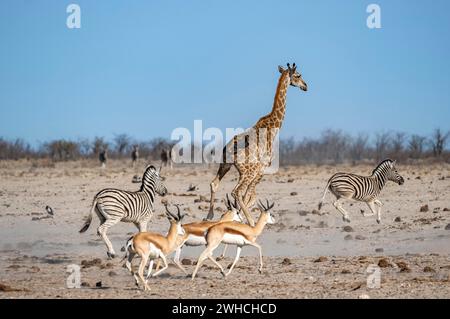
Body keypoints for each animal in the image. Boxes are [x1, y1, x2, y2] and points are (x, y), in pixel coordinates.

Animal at [207, 63, 306, 228]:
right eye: (298, 75)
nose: (306, 86)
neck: (273, 126)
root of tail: (230, 150)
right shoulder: (262, 168)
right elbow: (250, 196)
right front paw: (245, 218)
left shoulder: (257, 171)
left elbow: (250, 196)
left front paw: (236, 216)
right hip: (248, 172)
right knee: (237, 191)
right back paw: (250, 221)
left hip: (226, 165)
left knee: (215, 184)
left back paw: (209, 216)